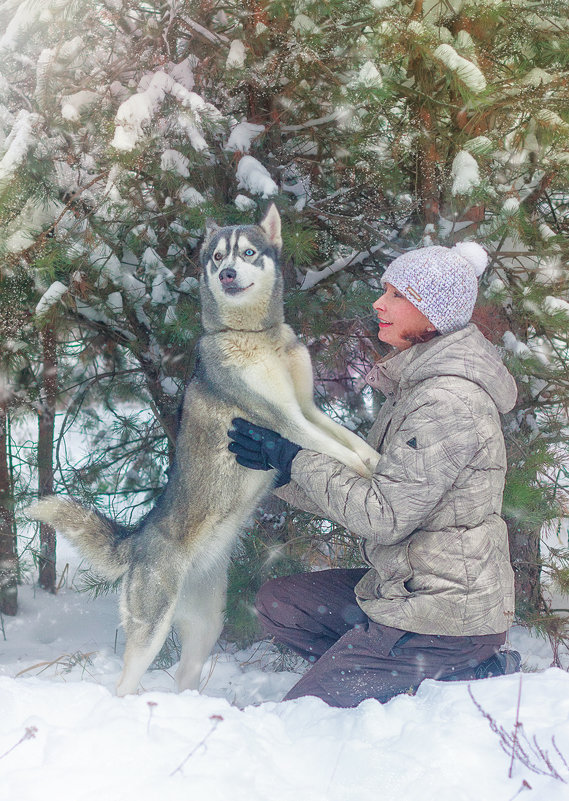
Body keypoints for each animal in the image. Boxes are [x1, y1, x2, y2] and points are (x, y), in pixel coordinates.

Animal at [28, 205, 380, 692]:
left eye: (248, 252)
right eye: (217, 258)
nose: (228, 273)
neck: (256, 335)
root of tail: (138, 539)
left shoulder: (308, 408)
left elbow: (350, 439)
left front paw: (380, 460)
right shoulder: (283, 419)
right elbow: (337, 451)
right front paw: (372, 474)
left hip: (206, 624)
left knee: (185, 673)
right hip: (151, 625)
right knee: (126, 683)